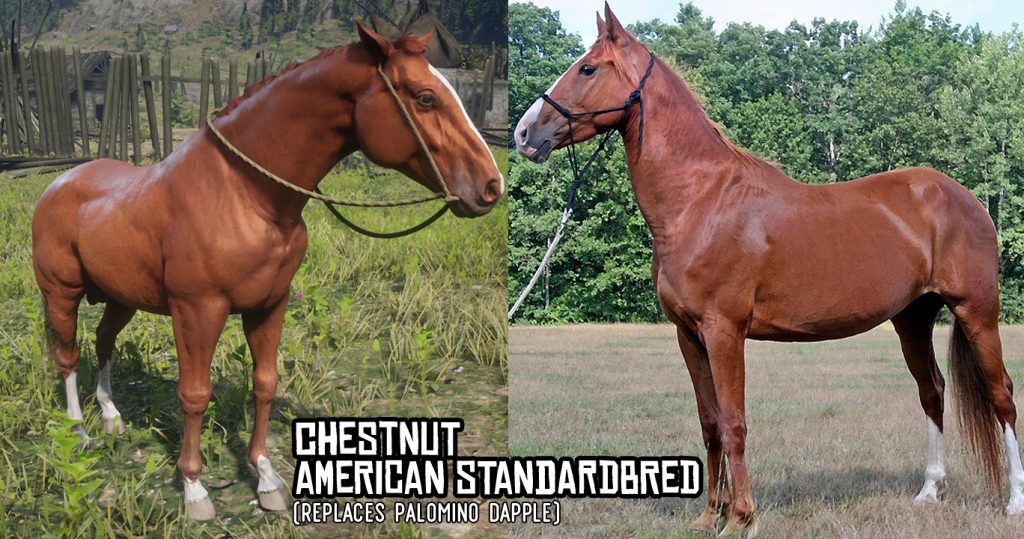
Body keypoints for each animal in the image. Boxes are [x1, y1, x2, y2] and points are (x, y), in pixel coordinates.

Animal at [32, 22, 503, 521]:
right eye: (425, 97)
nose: (490, 185)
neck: (244, 194)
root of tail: (58, 183)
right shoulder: (198, 312)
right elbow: (194, 394)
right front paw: (194, 489)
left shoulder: (269, 306)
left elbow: (265, 383)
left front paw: (266, 477)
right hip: (62, 293)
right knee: (68, 357)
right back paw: (78, 433)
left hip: (121, 298)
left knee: (103, 342)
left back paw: (111, 417)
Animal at [515, 4, 1021, 536]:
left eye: (588, 69)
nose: (525, 133)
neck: (700, 201)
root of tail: (966, 199)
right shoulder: (688, 335)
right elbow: (710, 423)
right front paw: (707, 516)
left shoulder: (724, 331)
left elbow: (734, 422)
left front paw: (740, 517)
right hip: (912, 318)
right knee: (932, 392)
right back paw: (929, 491)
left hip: (976, 311)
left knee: (1001, 394)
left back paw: (1013, 501)